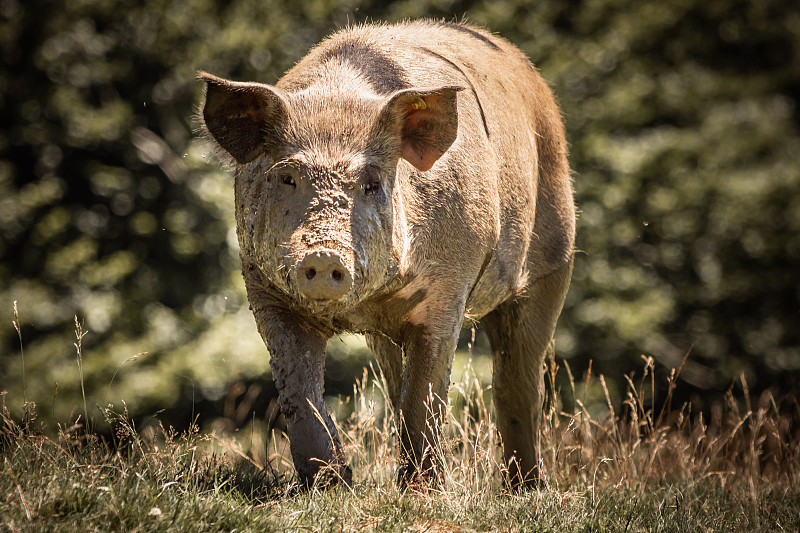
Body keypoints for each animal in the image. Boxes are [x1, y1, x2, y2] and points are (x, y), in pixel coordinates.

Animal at [199, 19, 576, 486]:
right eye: (287, 177)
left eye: (372, 183)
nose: (323, 256)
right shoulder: (262, 286)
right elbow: (299, 392)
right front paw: (331, 486)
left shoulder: (449, 286)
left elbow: (426, 394)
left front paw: (421, 491)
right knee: (398, 382)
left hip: (555, 257)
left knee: (518, 379)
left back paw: (524, 488)